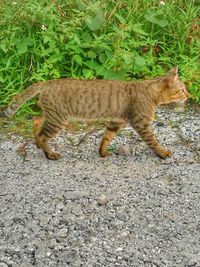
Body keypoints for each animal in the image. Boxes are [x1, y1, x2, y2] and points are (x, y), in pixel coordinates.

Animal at [1, 66, 189, 161]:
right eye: (182, 89)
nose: (189, 95)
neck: (151, 93)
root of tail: (47, 83)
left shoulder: (116, 121)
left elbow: (106, 138)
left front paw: (102, 152)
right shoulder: (141, 123)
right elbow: (153, 141)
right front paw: (163, 153)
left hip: (52, 116)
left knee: (36, 120)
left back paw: (38, 145)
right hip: (58, 119)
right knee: (43, 134)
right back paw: (49, 153)